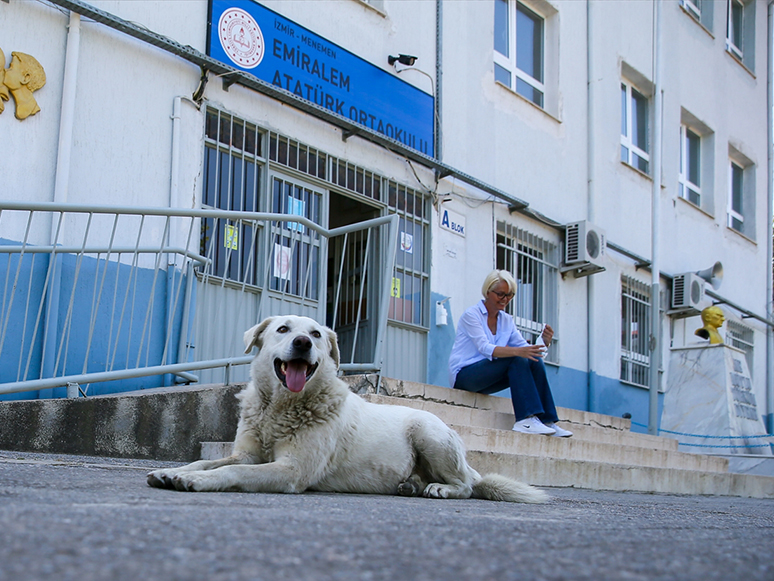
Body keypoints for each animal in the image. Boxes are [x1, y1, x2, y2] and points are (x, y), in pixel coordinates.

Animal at [149, 314, 548, 500]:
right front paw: (174, 471)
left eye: (316, 334)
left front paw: (197, 481)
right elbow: (209, 461)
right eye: (283, 329)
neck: (280, 408)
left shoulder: (292, 471)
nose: (302, 342)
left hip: (430, 435)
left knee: (466, 484)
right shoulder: (248, 453)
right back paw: (411, 485)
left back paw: (441, 489)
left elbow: (232, 472)